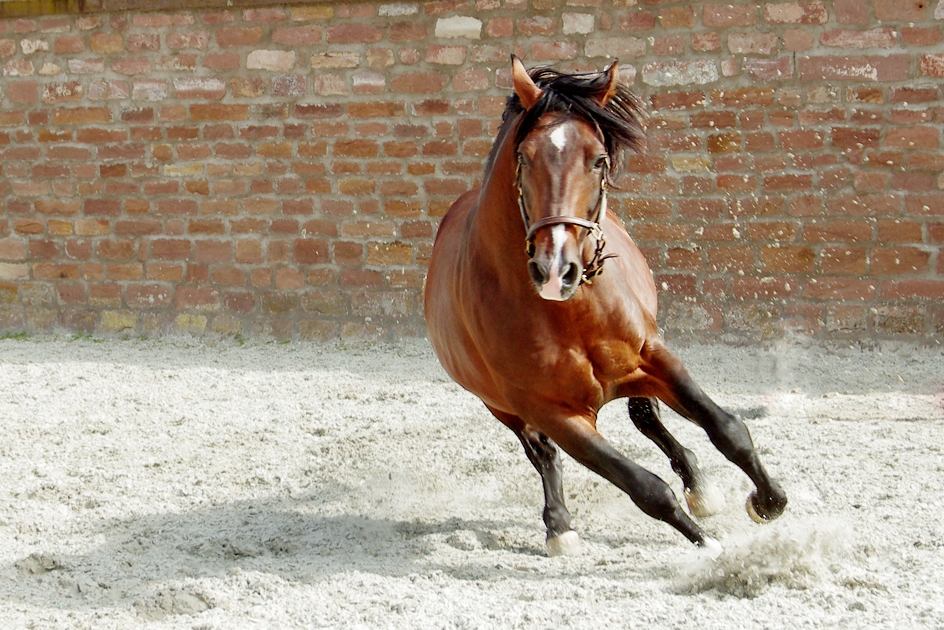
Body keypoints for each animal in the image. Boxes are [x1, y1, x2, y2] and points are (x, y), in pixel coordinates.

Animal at [424, 56, 787, 557]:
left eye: (598, 159)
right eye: (524, 158)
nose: (555, 270)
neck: (568, 315)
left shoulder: (653, 355)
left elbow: (728, 429)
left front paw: (768, 502)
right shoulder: (555, 415)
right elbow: (645, 487)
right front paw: (710, 548)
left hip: (633, 376)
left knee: (646, 418)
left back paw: (700, 487)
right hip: (502, 408)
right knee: (542, 454)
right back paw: (559, 527)